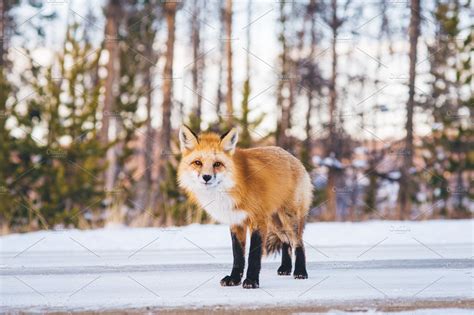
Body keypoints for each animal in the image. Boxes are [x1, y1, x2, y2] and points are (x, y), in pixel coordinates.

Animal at [176, 126, 312, 288]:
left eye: (217, 164)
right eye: (197, 162)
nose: (206, 177)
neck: (235, 186)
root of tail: (292, 156)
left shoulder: (258, 220)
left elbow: (253, 255)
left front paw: (251, 280)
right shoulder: (236, 221)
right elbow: (238, 255)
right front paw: (234, 279)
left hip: (288, 218)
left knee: (298, 243)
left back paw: (300, 271)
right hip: (275, 223)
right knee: (286, 242)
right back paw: (285, 268)